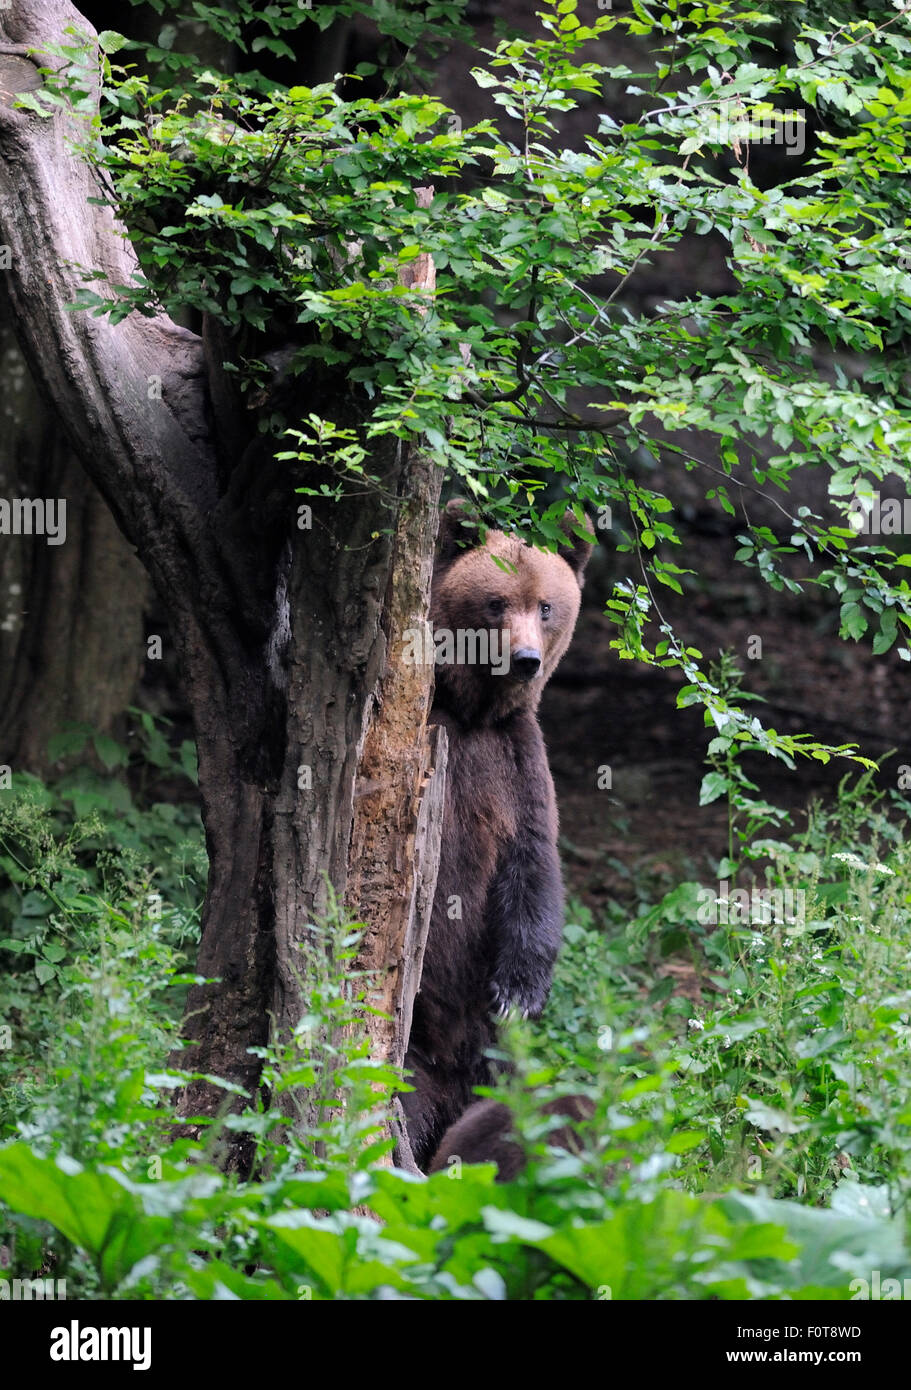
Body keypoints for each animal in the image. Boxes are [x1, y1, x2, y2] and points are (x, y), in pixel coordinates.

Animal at [401, 499, 594, 1170]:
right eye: (495, 601)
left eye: (547, 605)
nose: (526, 659)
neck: (472, 711)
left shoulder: (517, 764)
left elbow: (534, 872)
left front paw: (519, 991)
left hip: (495, 1059)